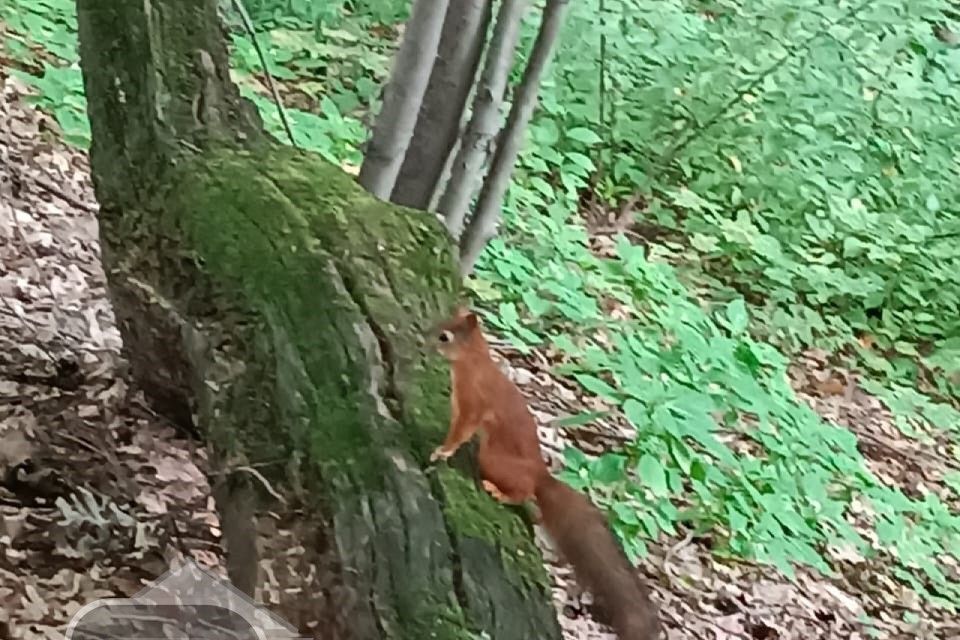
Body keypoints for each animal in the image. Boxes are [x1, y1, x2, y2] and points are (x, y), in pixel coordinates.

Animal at [432, 304, 664, 640]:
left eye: (445, 336)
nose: (427, 339)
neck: (474, 362)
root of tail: (540, 476)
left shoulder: (474, 403)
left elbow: (462, 430)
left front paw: (442, 451)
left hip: (494, 459)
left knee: (523, 492)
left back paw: (500, 492)